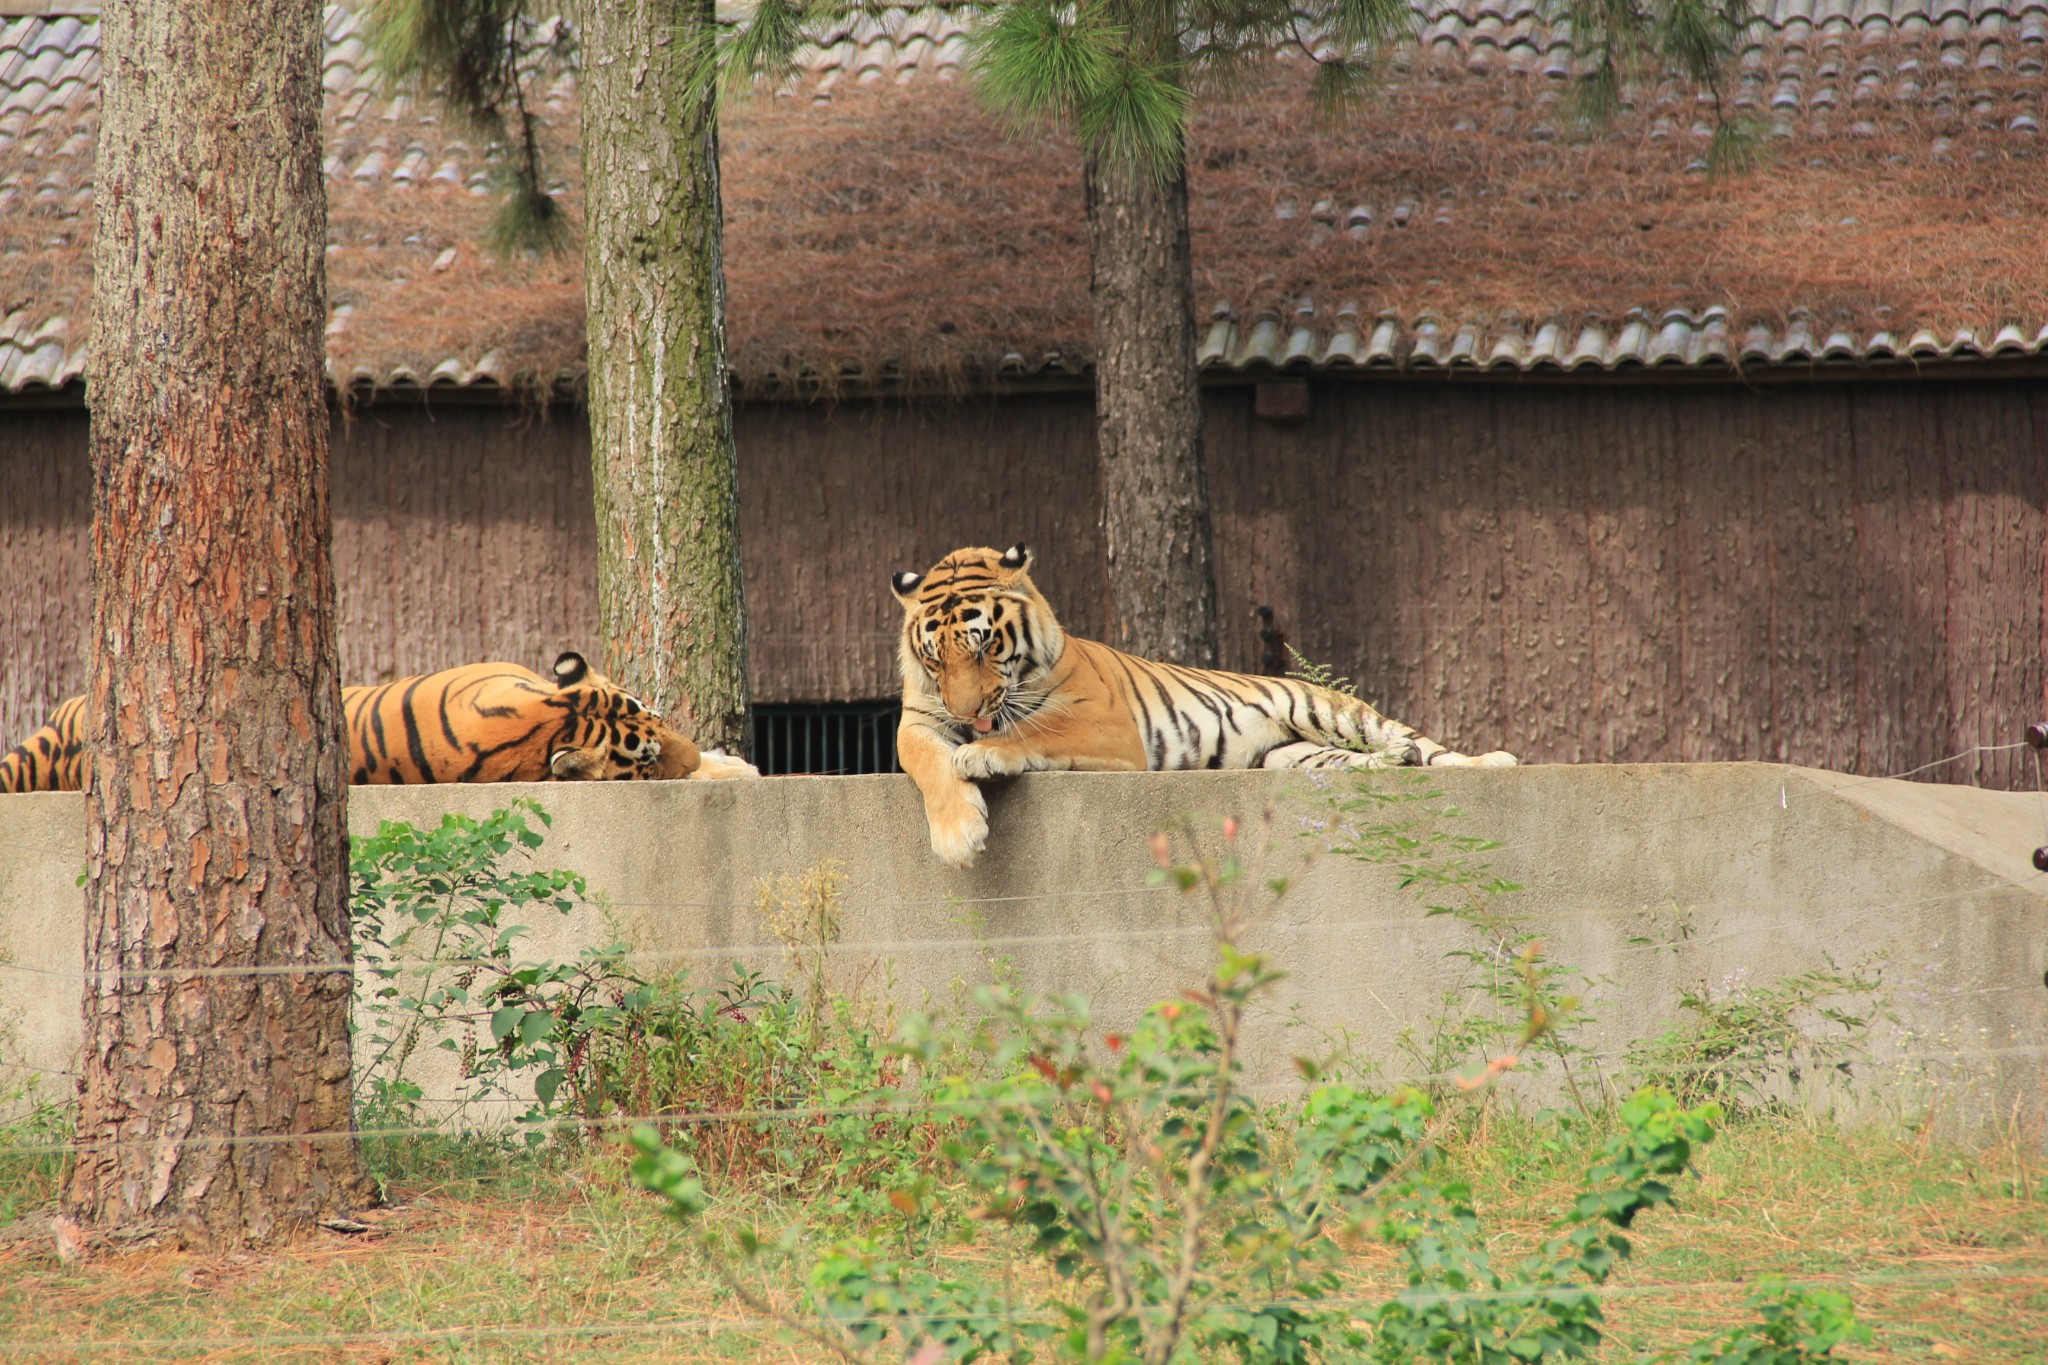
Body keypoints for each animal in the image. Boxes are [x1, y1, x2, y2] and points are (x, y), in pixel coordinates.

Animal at [888, 544, 1515, 863]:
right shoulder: (918, 720)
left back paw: (1490, 761)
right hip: (1295, 757)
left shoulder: (1103, 723)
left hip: (1327, 709)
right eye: (936, 660)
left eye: (985, 644)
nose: (968, 715)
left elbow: (1032, 730)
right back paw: (1395, 764)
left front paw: (981, 755)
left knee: (1419, 743)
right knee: (1376, 759)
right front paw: (957, 835)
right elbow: (926, 760)